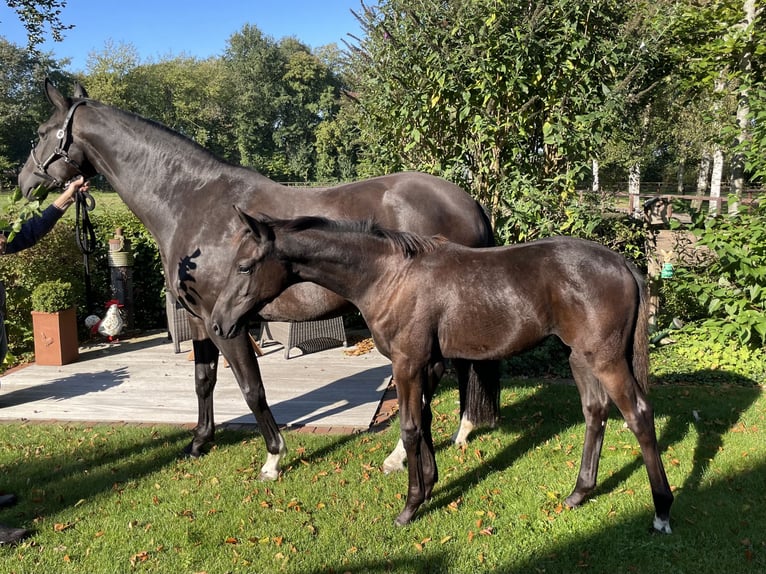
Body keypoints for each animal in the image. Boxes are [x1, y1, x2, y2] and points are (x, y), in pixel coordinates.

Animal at [18, 81, 504, 484]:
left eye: (41, 131)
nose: (22, 182)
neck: (192, 203)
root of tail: (468, 202)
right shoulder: (201, 321)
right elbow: (204, 379)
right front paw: (200, 442)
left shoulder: (228, 324)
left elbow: (251, 388)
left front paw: (272, 458)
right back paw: (459, 432)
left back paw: (403, 455)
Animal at [210, 212, 672, 536]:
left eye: (246, 267)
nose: (217, 324)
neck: (389, 276)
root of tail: (622, 263)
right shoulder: (429, 364)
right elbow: (426, 423)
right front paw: (430, 487)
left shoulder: (407, 364)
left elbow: (411, 427)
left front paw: (409, 506)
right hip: (581, 358)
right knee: (596, 412)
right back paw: (579, 492)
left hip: (607, 360)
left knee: (639, 415)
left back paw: (662, 510)